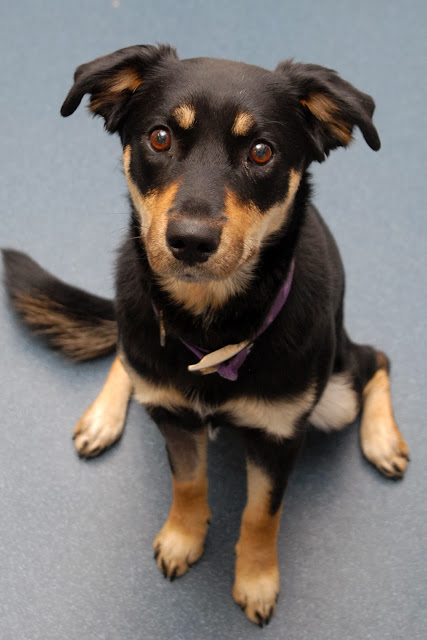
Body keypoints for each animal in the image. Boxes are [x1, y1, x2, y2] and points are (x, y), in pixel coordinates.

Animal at [3, 44, 409, 627]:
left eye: (261, 152)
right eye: (160, 137)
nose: (190, 241)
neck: (209, 323)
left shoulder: (280, 436)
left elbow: (262, 514)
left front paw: (256, 579)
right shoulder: (174, 415)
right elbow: (189, 481)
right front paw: (183, 536)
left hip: (336, 396)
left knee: (376, 359)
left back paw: (382, 440)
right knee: (126, 355)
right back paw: (103, 417)